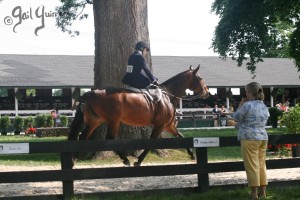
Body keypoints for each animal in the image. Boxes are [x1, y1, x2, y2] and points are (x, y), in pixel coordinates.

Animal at [68, 65, 209, 166]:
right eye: (200, 78)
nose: (207, 92)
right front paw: (139, 160)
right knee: (109, 138)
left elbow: (181, 136)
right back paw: (125, 159)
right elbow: (151, 142)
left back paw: (74, 159)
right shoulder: (160, 125)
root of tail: (92, 93)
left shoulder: (168, 125)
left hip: (95, 120)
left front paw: (192, 155)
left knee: (83, 137)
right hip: (113, 120)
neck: (167, 95)